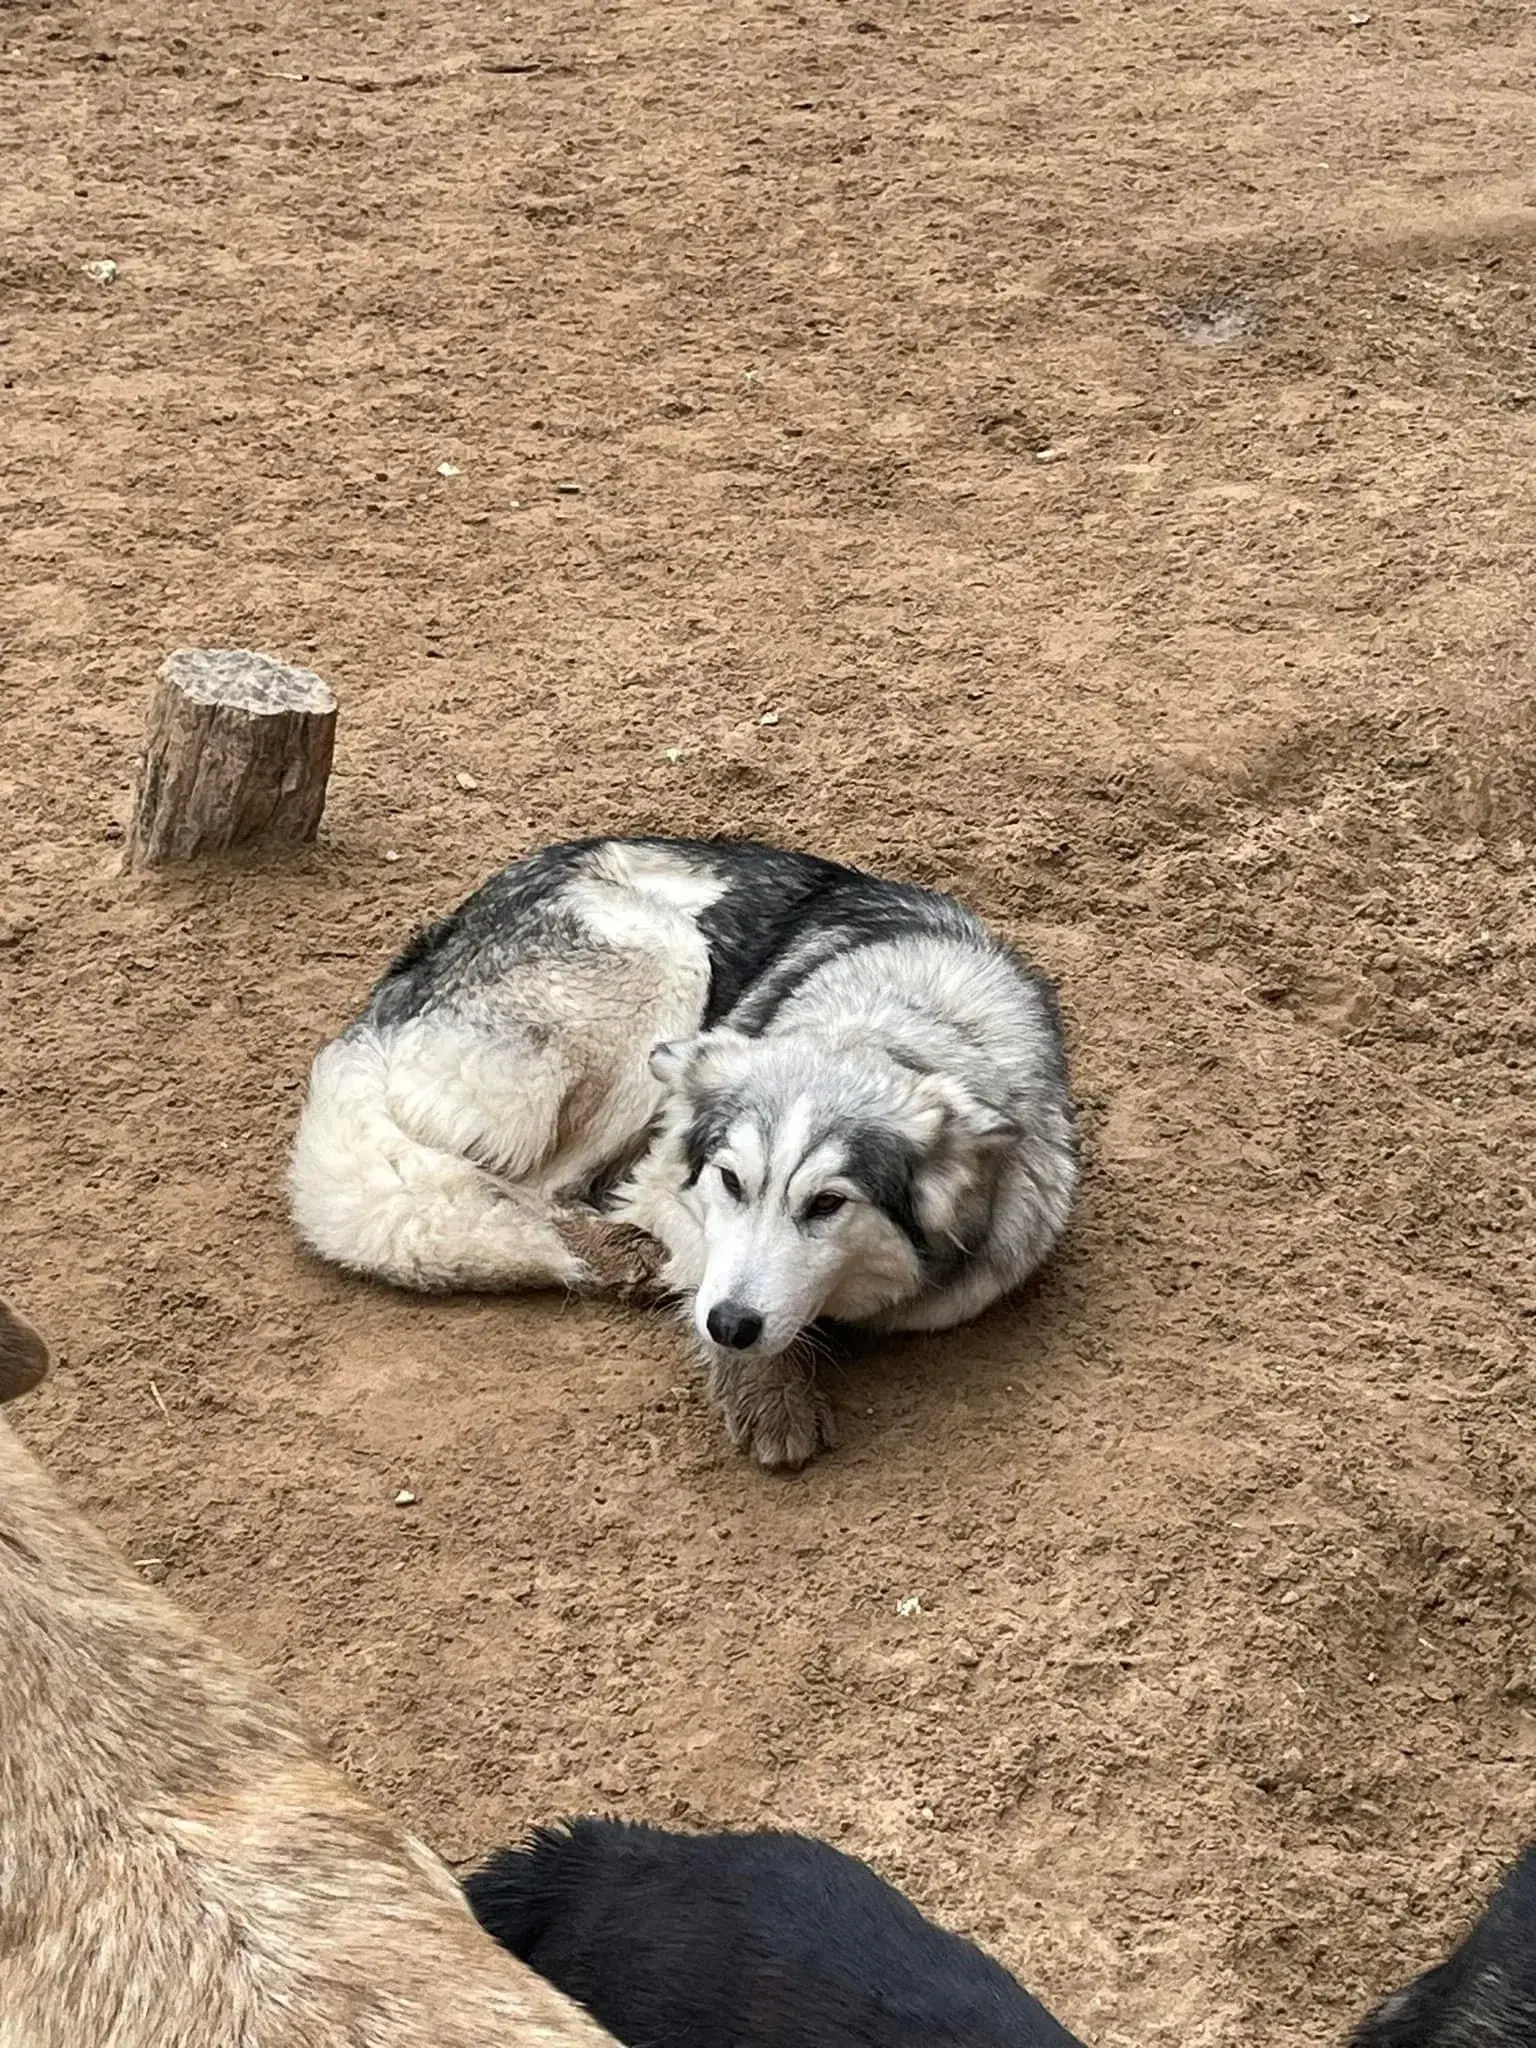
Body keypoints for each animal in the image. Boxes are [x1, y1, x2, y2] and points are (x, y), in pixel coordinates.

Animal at [290, 835, 1081, 1474]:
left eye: (828, 1204)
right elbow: (702, 1259)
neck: (900, 1025)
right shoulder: (665, 1180)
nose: (728, 1326)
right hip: (664, 961)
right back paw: (617, 1257)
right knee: (510, 1192)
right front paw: (768, 1393)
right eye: (731, 1181)